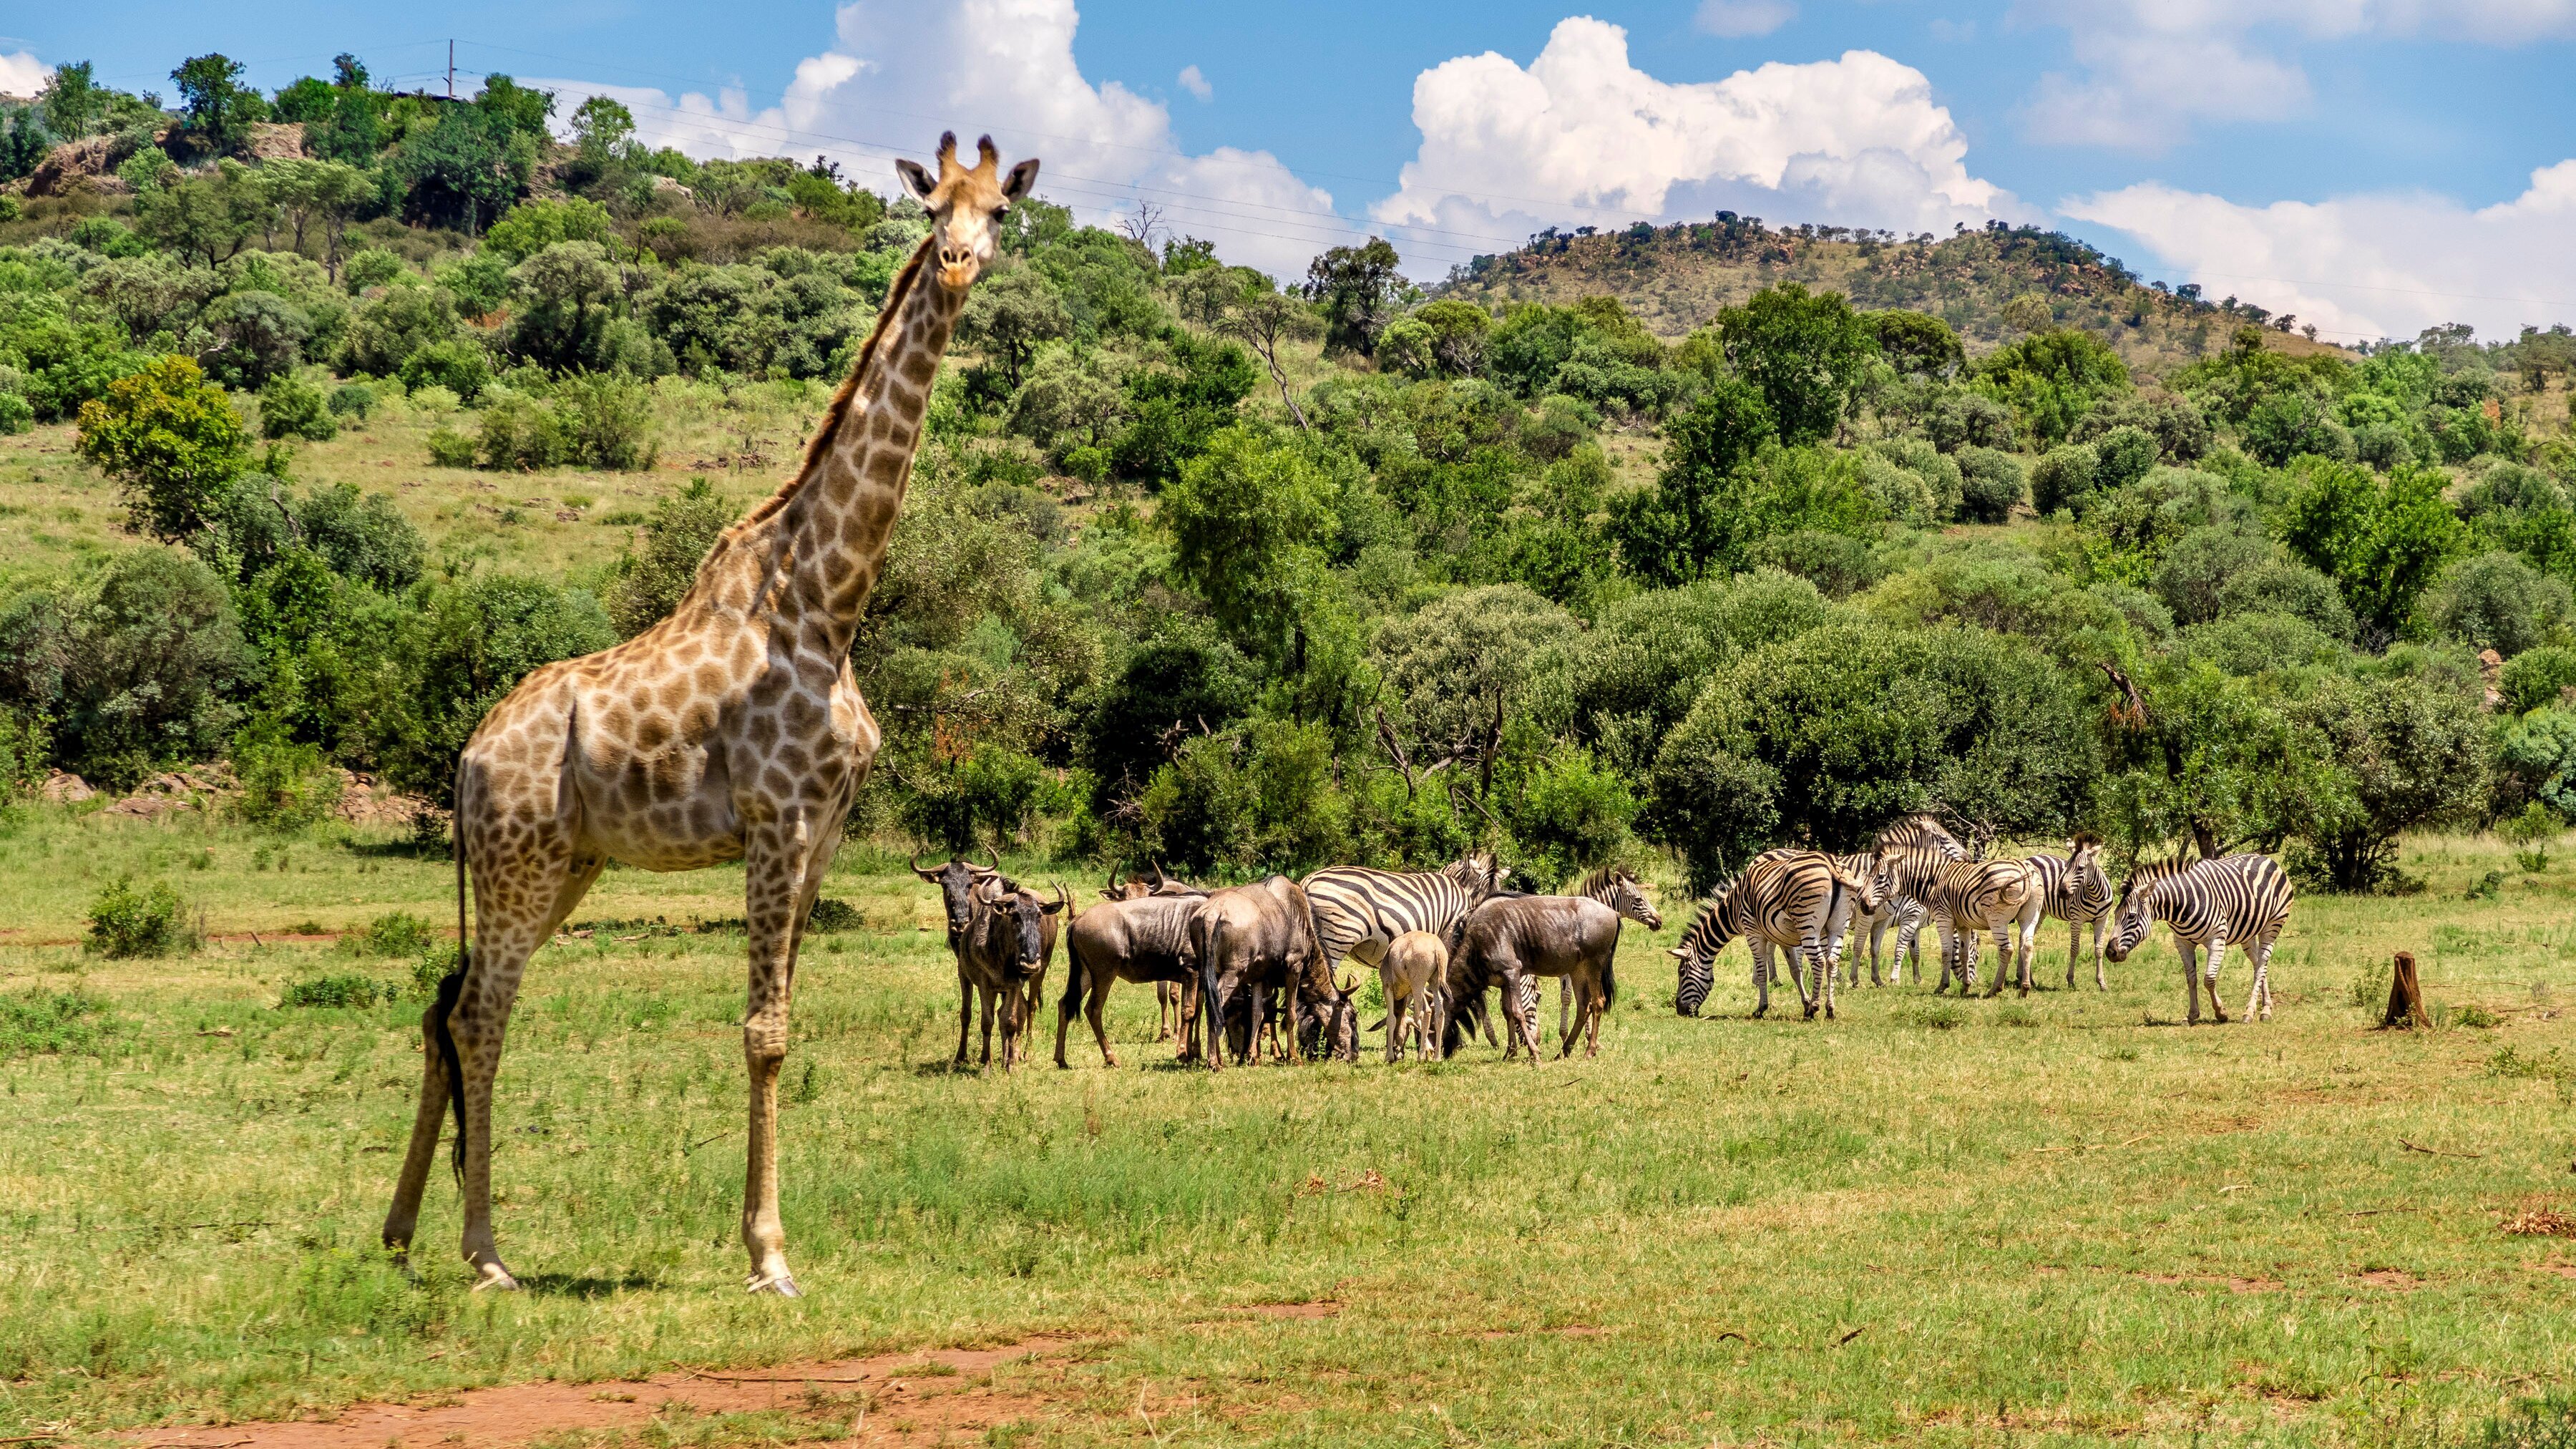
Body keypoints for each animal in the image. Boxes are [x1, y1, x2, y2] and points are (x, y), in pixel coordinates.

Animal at [376, 135, 1040, 1289]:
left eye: (1000, 210)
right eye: (931, 210)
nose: (959, 264)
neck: (827, 605)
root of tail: (467, 756)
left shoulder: (825, 833)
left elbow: (783, 1020)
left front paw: (765, 1240)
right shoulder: (777, 820)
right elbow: (764, 1032)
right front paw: (770, 1257)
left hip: (564, 865)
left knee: (448, 1004)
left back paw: (404, 1233)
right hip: (519, 860)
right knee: (484, 1013)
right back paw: (487, 1253)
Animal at [1669, 845, 1875, 1015]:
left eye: (1682, 973)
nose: (1680, 1010)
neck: (1733, 908)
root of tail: (1831, 864)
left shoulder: (1753, 931)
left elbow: (1762, 971)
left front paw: (1762, 1008)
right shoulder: (1784, 938)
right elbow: (1795, 971)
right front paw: (1805, 1002)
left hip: (1807, 923)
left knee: (1819, 961)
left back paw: (1815, 1009)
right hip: (1838, 925)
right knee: (1832, 961)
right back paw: (1830, 1009)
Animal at [2029, 830, 2112, 985]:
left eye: (2080, 868)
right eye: (2066, 867)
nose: (2061, 891)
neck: (2095, 895)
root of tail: (2033, 857)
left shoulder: (2102, 920)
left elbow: (2099, 950)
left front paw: (2101, 982)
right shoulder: (2076, 920)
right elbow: (2074, 949)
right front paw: (2070, 979)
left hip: (2041, 911)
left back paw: (2026, 978)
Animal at [2112, 851, 2298, 1020]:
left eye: (2131, 916)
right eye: (2114, 915)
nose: (2110, 952)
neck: (2183, 905)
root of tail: (2266, 858)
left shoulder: (2217, 939)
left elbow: (2209, 979)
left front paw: (2221, 1013)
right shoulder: (2182, 942)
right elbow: (2191, 978)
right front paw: (2192, 1015)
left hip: (2273, 924)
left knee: (2262, 965)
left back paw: (2251, 1013)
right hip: (2249, 932)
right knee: (2259, 964)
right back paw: (2266, 1008)